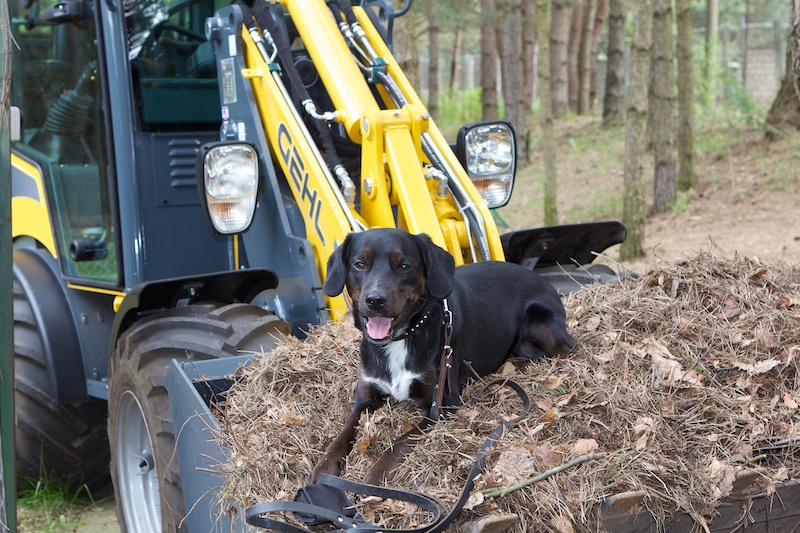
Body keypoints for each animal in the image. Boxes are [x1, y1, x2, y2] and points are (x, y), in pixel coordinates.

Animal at [311, 228, 574, 485]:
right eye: (359, 264)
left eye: (404, 266)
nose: (375, 300)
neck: (402, 338)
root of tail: (541, 279)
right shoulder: (365, 398)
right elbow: (344, 432)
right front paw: (325, 466)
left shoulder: (442, 402)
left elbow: (402, 440)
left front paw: (377, 473)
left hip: (541, 325)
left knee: (566, 348)